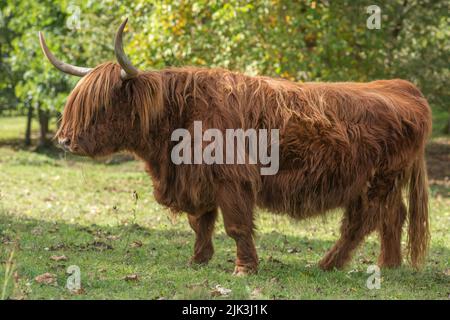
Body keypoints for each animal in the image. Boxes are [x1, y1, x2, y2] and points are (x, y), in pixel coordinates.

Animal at [39, 18, 432, 276]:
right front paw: (197, 260)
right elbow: (200, 223)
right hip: (384, 182)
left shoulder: (232, 178)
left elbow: (236, 226)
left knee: (361, 223)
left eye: (102, 105)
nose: (65, 140)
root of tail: (402, 87)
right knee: (393, 217)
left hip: (375, 182)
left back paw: (327, 264)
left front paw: (244, 269)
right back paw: (389, 265)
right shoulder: (195, 178)